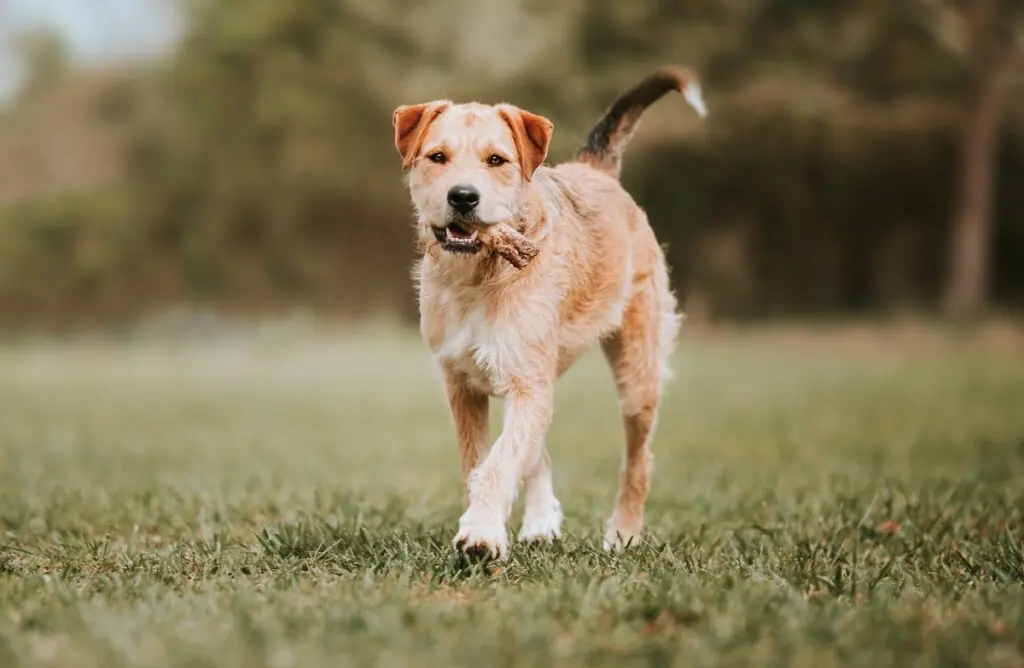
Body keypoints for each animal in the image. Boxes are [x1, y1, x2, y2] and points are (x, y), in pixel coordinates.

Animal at [389, 66, 704, 557]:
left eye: (496, 160)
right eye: (437, 156)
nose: (463, 197)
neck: (480, 275)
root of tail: (593, 168)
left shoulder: (526, 382)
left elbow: (499, 462)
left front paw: (481, 533)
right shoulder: (463, 384)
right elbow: (482, 460)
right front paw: (492, 523)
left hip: (637, 373)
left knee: (638, 459)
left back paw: (624, 533)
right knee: (537, 449)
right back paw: (540, 523)